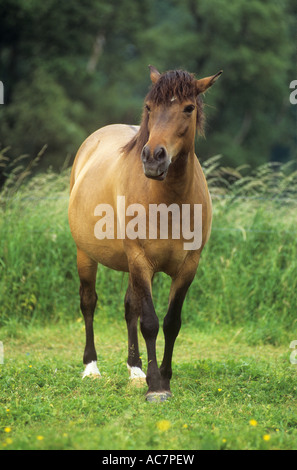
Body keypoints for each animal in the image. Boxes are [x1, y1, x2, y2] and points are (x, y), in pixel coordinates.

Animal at [68, 65, 221, 404]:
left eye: (188, 108)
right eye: (150, 107)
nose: (153, 157)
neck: (169, 201)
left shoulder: (188, 266)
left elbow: (171, 322)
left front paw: (162, 378)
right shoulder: (140, 260)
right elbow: (149, 322)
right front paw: (156, 387)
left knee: (130, 308)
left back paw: (134, 370)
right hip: (87, 255)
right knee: (89, 302)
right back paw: (91, 368)